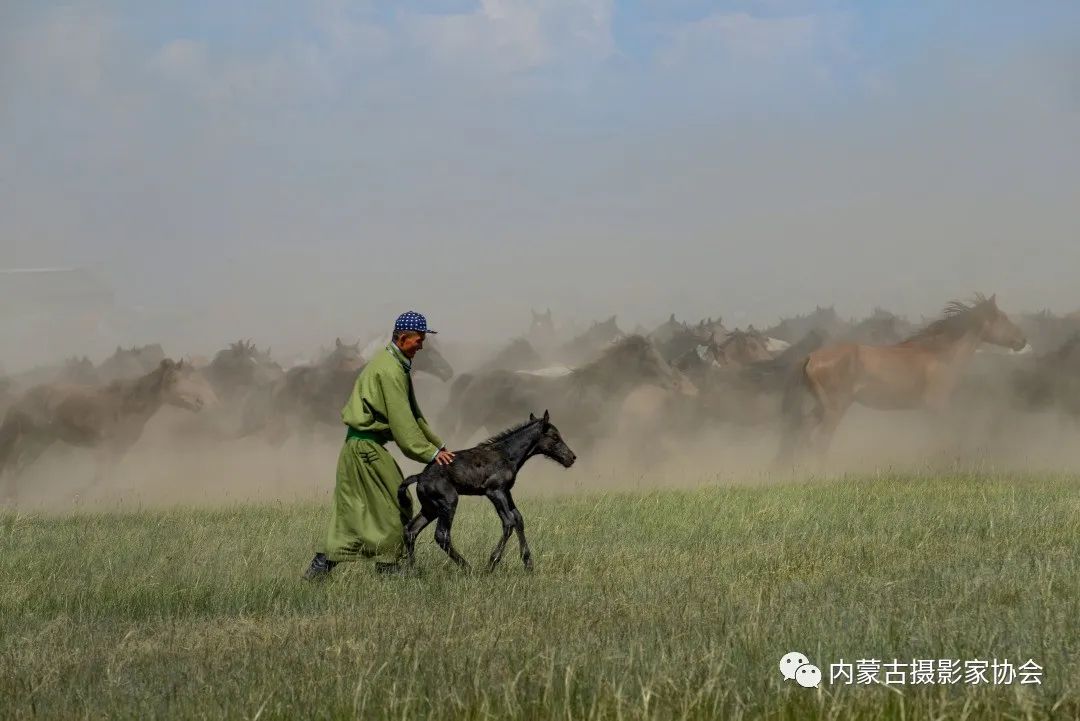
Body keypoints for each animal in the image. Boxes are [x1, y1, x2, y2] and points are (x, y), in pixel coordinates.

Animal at [0, 358, 219, 498]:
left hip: (40, 443)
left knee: (17, 466)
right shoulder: (104, 448)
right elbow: (100, 477)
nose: (200, 402)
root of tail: (22, 398)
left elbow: (106, 477)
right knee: (12, 464)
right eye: (173, 380)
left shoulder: (120, 449)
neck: (127, 405)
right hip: (31, 440)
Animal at [401, 414, 578, 569]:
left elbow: (519, 519)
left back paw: (412, 568)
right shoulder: (494, 491)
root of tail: (420, 477)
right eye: (555, 437)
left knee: (411, 530)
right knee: (441, 535)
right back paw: (467, 568)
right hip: (448, 502)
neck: (506, 454)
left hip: (430, 507)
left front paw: (528, 563)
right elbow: (508, 521)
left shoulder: (506, 491)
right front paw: (492, 562)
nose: (571, 457)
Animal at [777, 295, 1028, 464]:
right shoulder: (938, 406)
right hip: (835, 409)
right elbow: (945, 435)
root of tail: (811, 357)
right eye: (1003, 317)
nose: (1022, 340)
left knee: (804, 433)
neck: (940, 353)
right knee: (821, 441)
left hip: (822, 407)